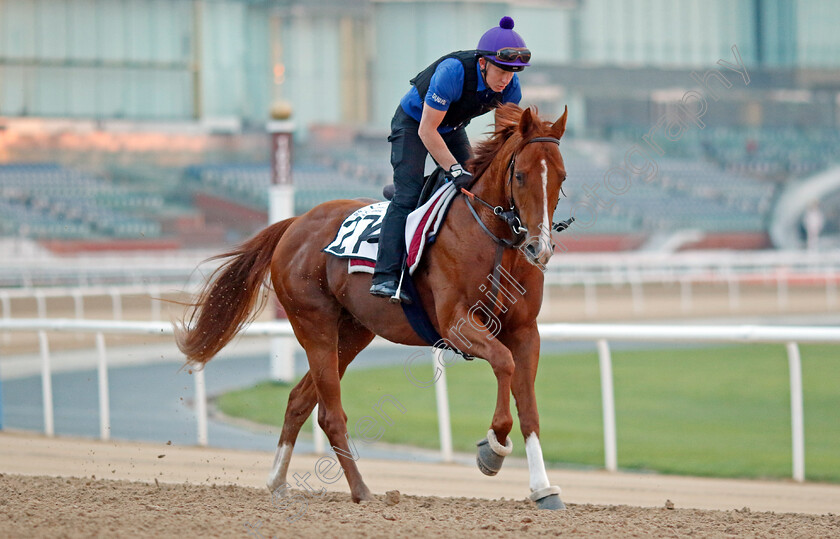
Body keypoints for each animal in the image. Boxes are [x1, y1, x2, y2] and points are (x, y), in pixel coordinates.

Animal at [177, 104, 572, 510]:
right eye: (521, 176)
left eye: (561, 177)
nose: (539, 248)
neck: (492, 239)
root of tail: (295, 223)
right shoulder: (457, 324)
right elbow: (503, 364)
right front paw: (492, 448)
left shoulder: (524, 331)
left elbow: (529, 408)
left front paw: (543, 489)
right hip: (314, 325)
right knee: (329, 413)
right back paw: (361, 490)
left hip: (353, 332)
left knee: (299, 400)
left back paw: (278, 481)